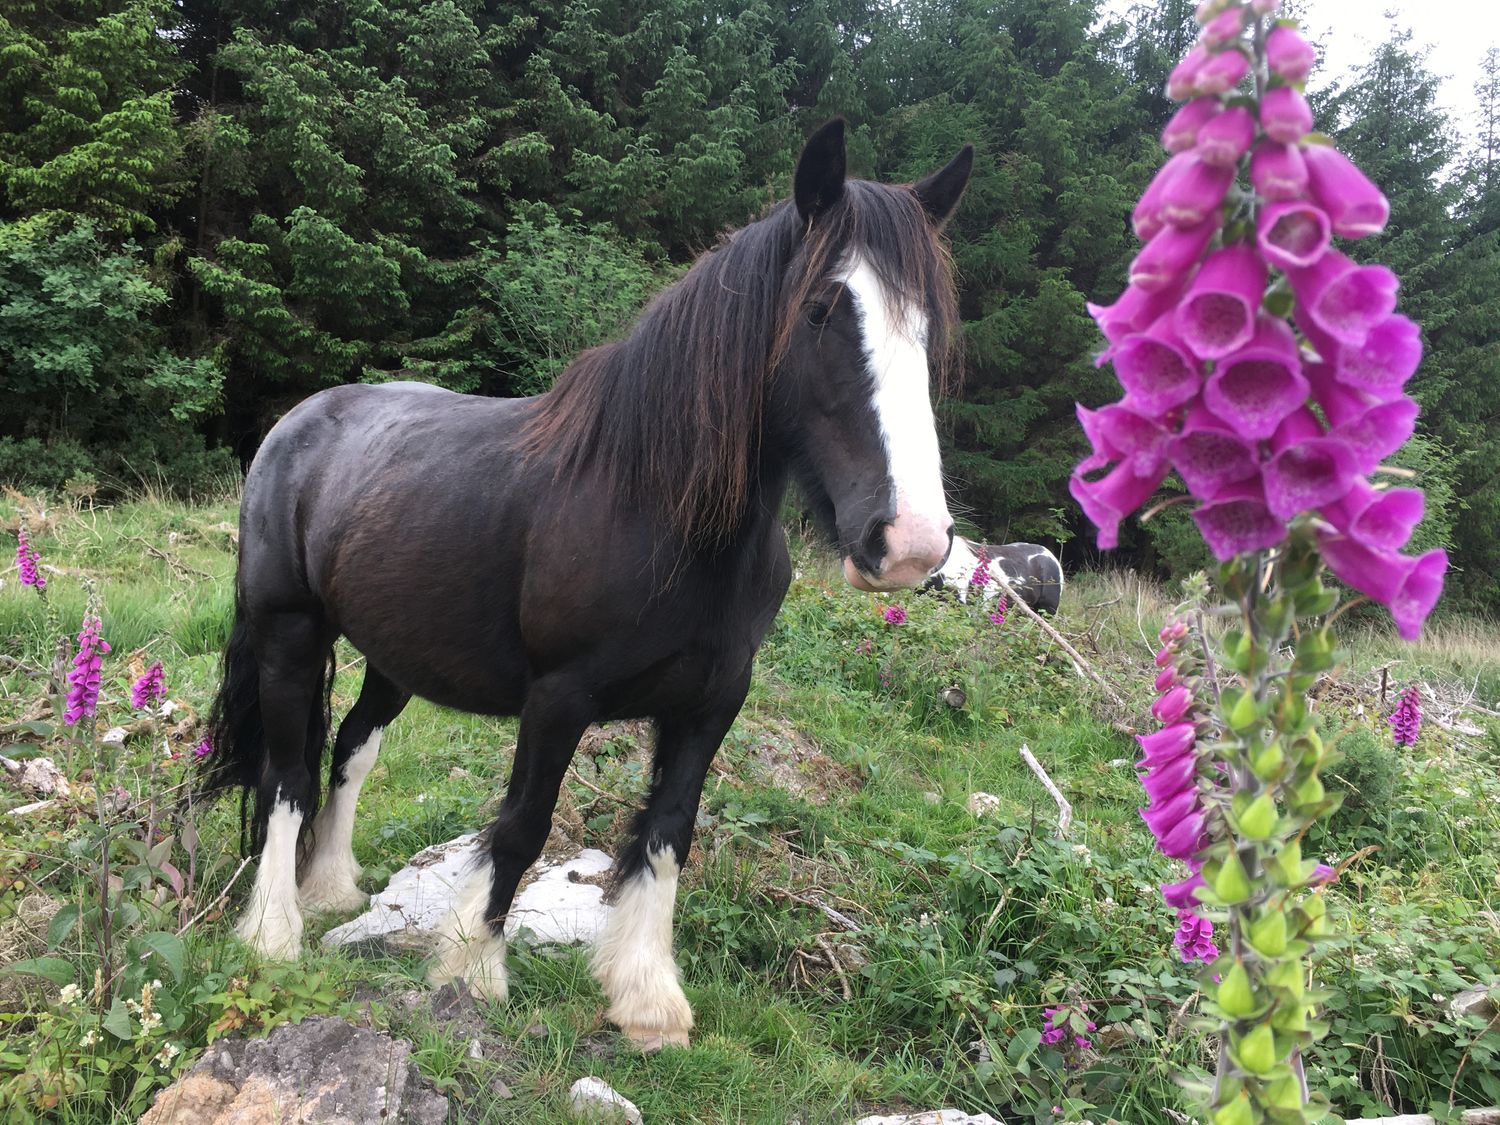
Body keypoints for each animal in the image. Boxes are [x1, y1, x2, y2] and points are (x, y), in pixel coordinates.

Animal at [200, 119, 972, 1051]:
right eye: (824, 310)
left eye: (928, 326)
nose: (913, 543)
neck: (658, 506)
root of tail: (298, 423)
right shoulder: (559, 696)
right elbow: (524, 824)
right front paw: (474, 969)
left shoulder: (713, 700)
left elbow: (668, 831)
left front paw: (646, 997)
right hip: (289, 630)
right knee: (287, 772)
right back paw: (274, 929)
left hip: (395, 652)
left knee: (351, 746)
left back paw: (332, 886)